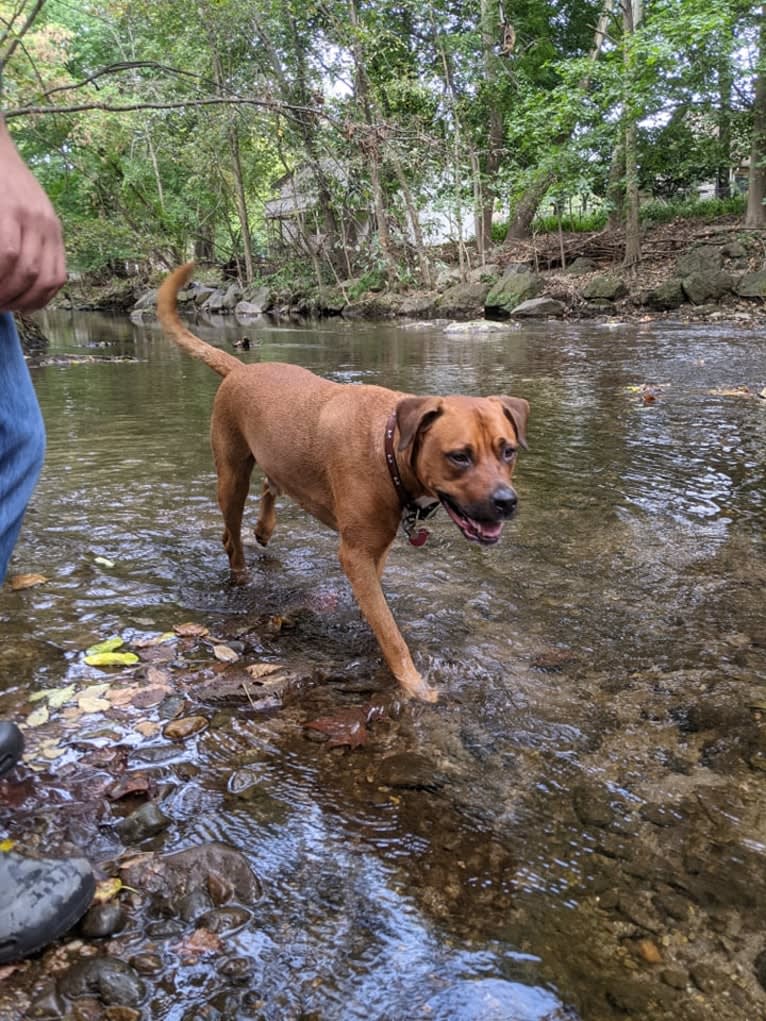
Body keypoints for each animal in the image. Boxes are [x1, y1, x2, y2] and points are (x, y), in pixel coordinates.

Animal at [156, 261, 527, 702]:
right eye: (459, 456)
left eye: (508, 451)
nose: (507, 502)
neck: (388, 448)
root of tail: (241, 369)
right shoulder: (356, 554)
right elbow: (391, 632)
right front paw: (414, 684)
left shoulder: (375, 552)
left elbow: (376, 611)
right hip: (231, 474)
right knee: (231, 534)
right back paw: (241, 570)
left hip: (278, 456)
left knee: (271, 485)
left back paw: (264, 528)